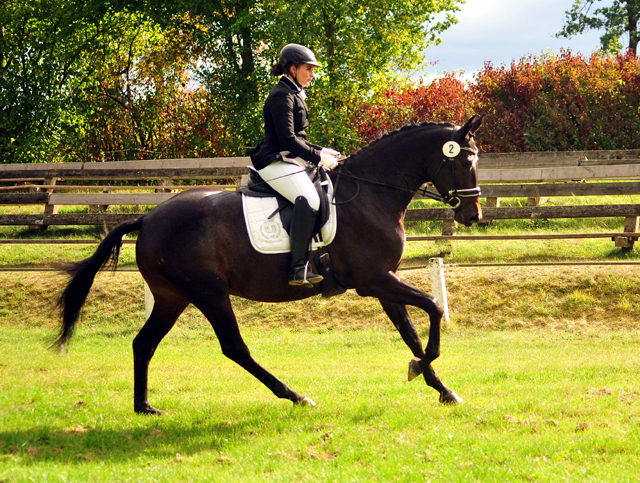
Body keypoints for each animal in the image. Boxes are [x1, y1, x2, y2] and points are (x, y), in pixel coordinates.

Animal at [57, 115, 482, 414]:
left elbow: (411, 333)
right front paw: (420, 369)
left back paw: (144, 407)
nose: (474, 215)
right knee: (234, 347)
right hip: (208, 292)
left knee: (144, 343)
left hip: (172, 296)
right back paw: (296, 396)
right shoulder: (375, 279)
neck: (370, 193)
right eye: (464, 162)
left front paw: (441, 388)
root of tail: (147, 218)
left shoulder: (384, 282)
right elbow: (433, 308)